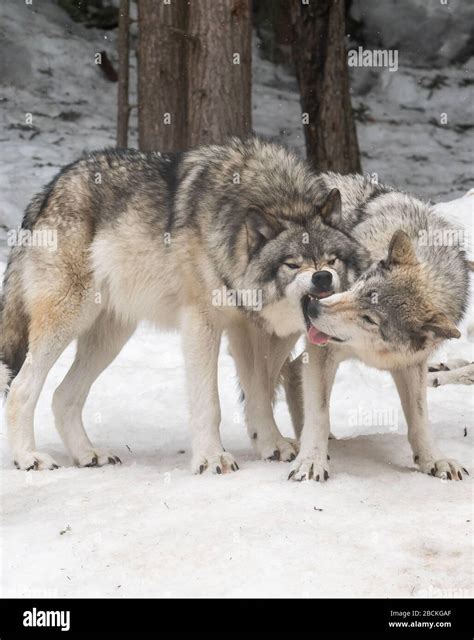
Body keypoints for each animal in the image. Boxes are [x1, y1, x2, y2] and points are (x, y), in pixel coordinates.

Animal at [0, 138, 370, 473]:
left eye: (331, 260)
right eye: (293, 264)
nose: (322, 278)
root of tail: (47, 190)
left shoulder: (247, 332)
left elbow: (260, 394)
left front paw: (271, 444)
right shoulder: (201, 323)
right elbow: (209, 403)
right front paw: (211, 458)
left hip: (111, 338)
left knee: (62, 396)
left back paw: (88, 454)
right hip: (69, 319)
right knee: (20, 388)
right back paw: (28, 458)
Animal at [287, 176, 470, 482]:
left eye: (370, 318)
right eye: (359, 285)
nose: (313, 309)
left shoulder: (411, 364)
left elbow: (420, 418)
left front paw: (434, 460)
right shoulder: (322, 350)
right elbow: (319, 412)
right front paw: (311, 461)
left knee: (290, 373)